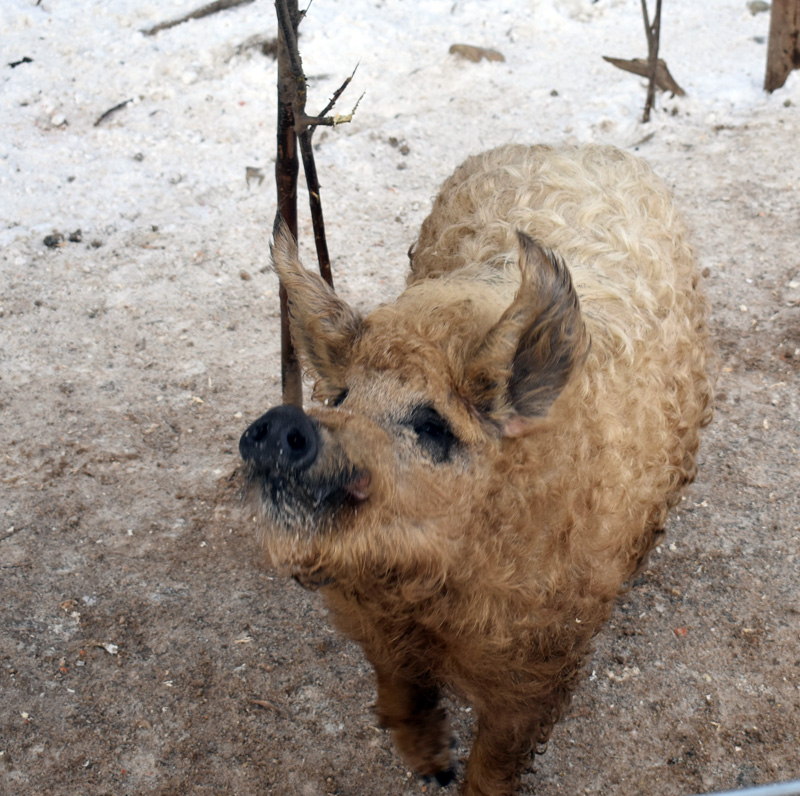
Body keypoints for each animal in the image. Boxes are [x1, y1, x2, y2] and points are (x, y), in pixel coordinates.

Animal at [239, 144, 714, 796]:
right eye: (343, 397)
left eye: (433, 424)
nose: (284, 421)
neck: (423, 592)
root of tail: (568, 145)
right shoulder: (377, 627)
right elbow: (398, 687)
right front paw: (431, 769)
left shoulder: (542, 659)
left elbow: (500, 754)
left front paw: (458, 779)